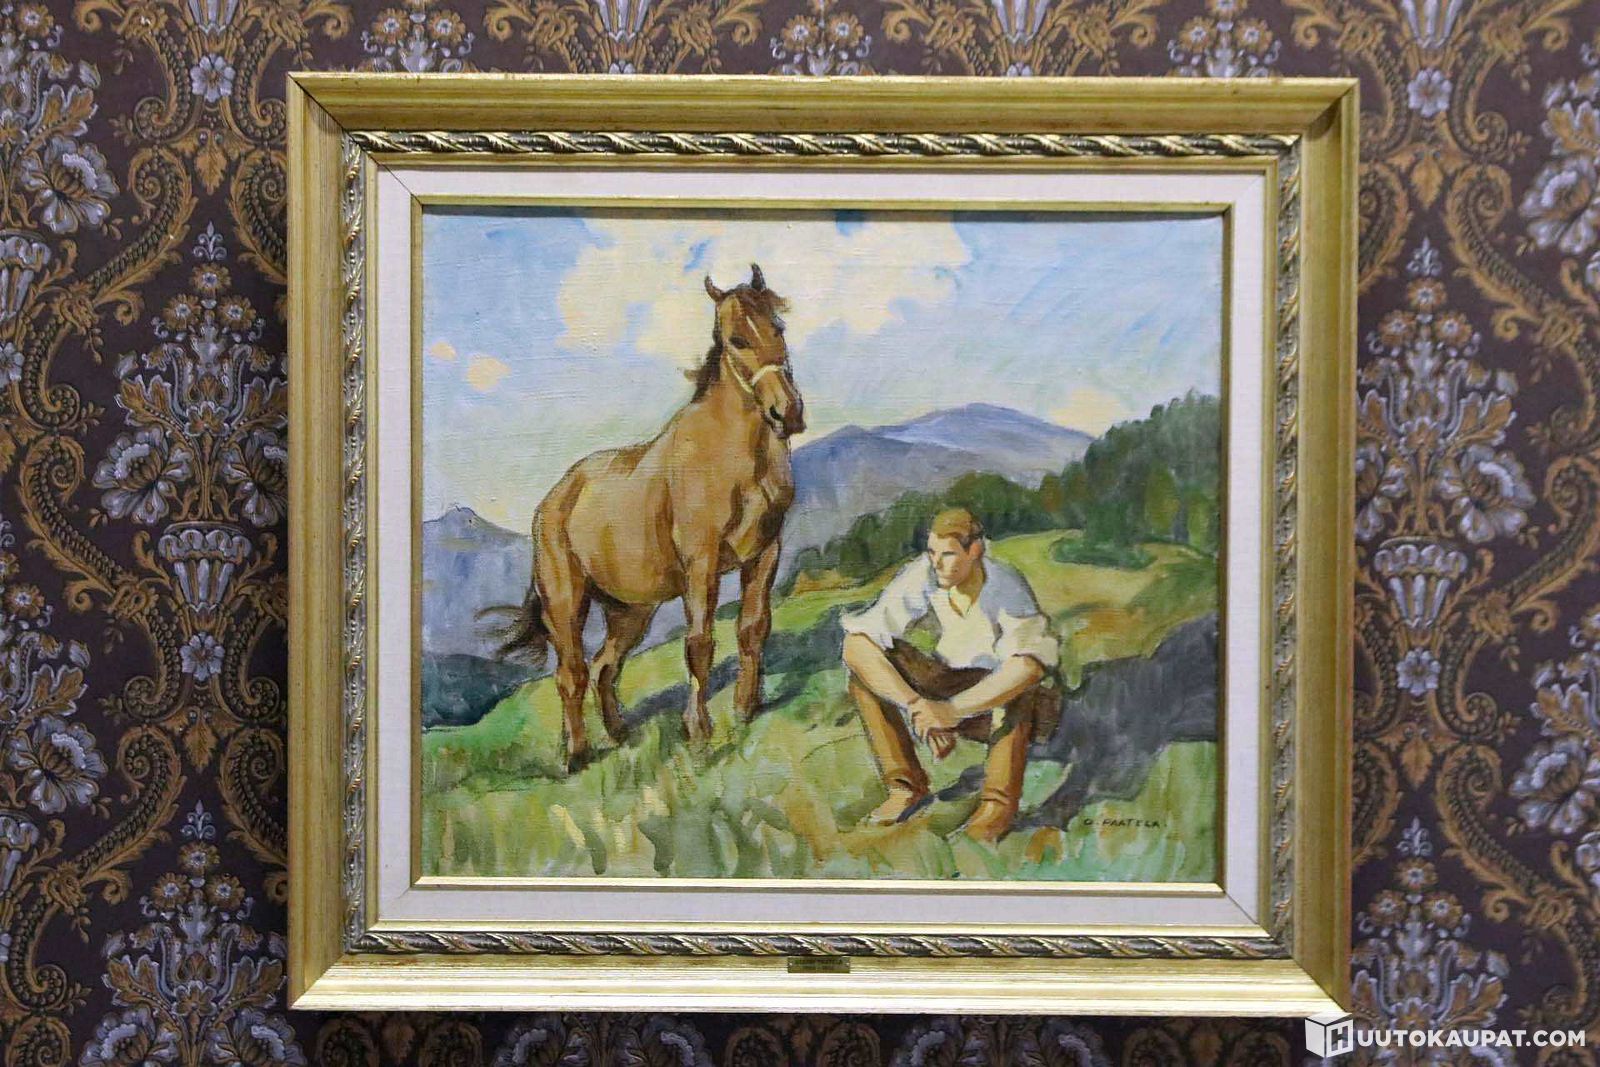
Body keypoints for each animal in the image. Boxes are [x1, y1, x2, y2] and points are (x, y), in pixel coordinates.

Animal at [488, 263, 805, 772]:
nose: (788, 412)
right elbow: (699, 645)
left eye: (778, 327)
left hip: (630, 610)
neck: (732, 455)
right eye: (736, 339)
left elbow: (753, 628)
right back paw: (576, 754)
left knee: (604, 667)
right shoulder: (701, 565)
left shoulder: (765, 553)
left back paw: (619, 733)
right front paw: (699, 732)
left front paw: (746, 707)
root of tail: (552, 501)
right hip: (566, 604)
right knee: (571, 673)